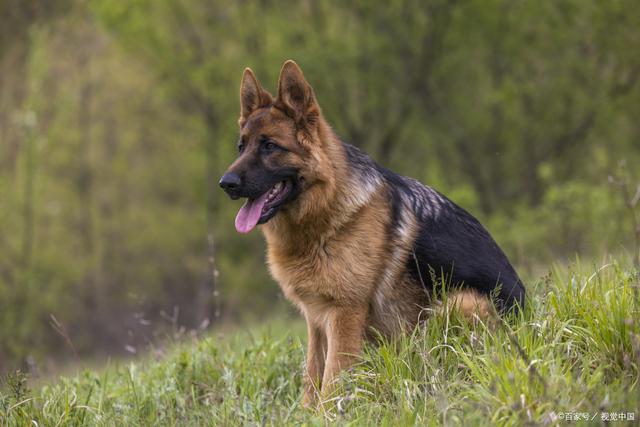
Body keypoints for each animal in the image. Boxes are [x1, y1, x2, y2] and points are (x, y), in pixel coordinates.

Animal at [220, 61, 524, 408]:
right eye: (241, 147)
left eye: (270, 146)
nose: (225, 183)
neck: (326, 215)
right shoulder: (316, 319)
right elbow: (311, 377)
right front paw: (305, 414)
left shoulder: (344, 315)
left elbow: (331, 381)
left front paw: (328, 414)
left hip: (457, 303)